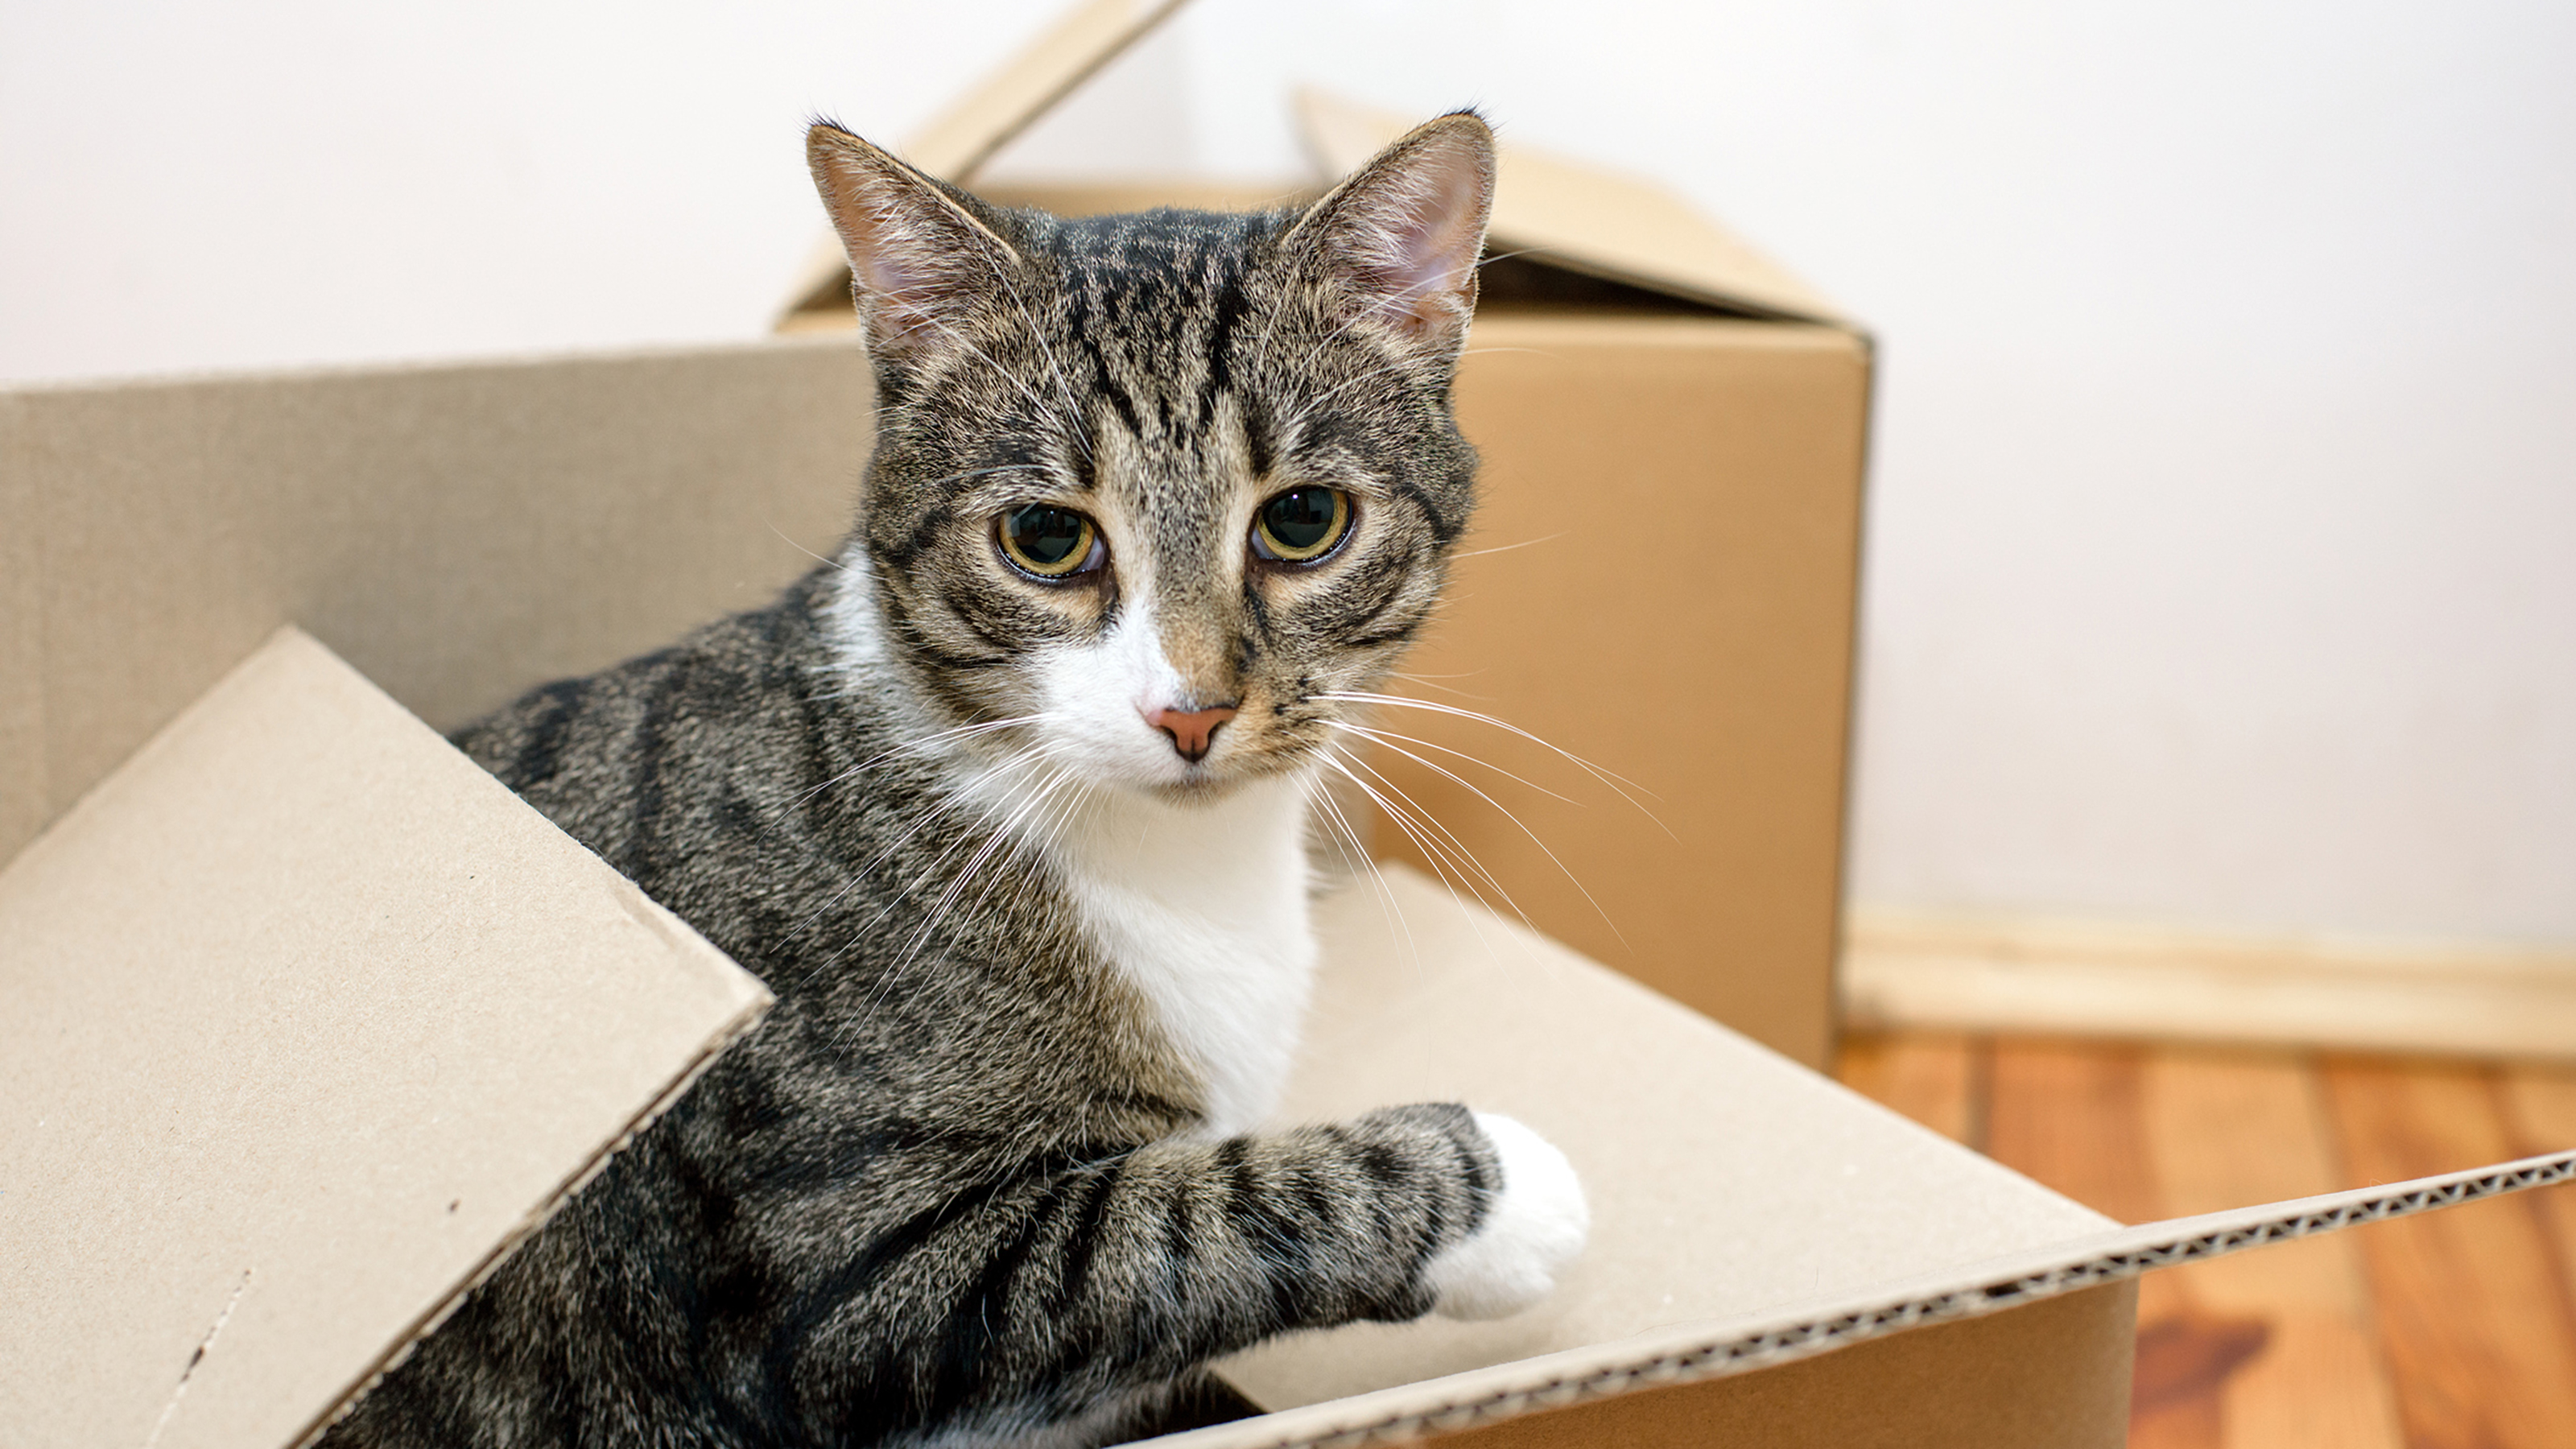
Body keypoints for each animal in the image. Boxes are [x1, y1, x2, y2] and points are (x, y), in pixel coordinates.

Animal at [329, 109, 1576, 1443]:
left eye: (1302, 521)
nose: (1190, 710)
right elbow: (1175, 1217)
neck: (1180, 871)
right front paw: (1515, 1190)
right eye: (1047, 538)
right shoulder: (856, 1274)